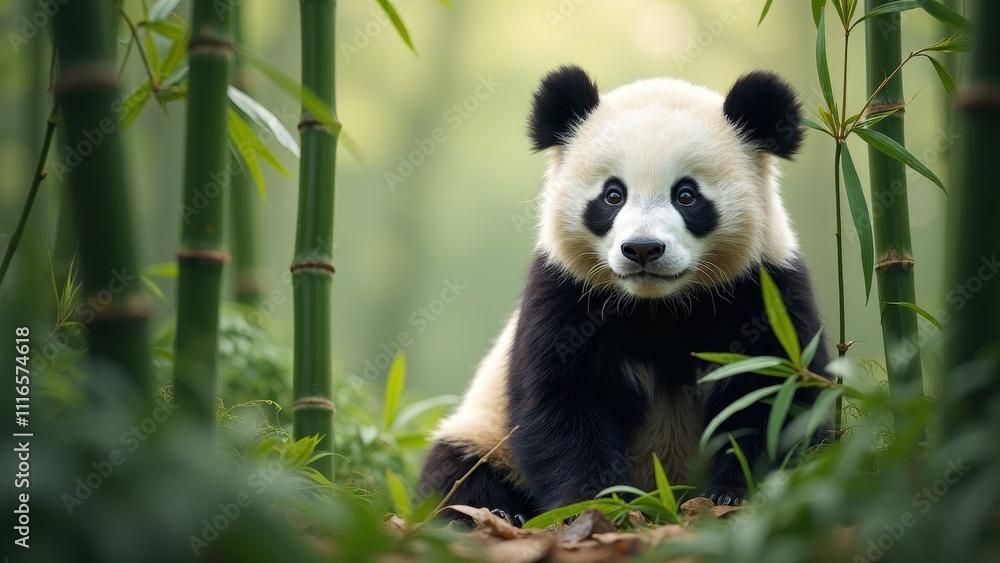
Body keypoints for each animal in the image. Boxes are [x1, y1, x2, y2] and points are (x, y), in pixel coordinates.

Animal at [418, 65, 830, 524]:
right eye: (613, 194)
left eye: (687, 195)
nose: (643, 249)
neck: (660, 304)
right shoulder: (568, 294)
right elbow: (562, 402)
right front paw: (596, 503)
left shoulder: (762, 291)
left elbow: (777, 395)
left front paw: (732, 494)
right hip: (484, 431)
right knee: (457, 468)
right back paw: (489, 514)